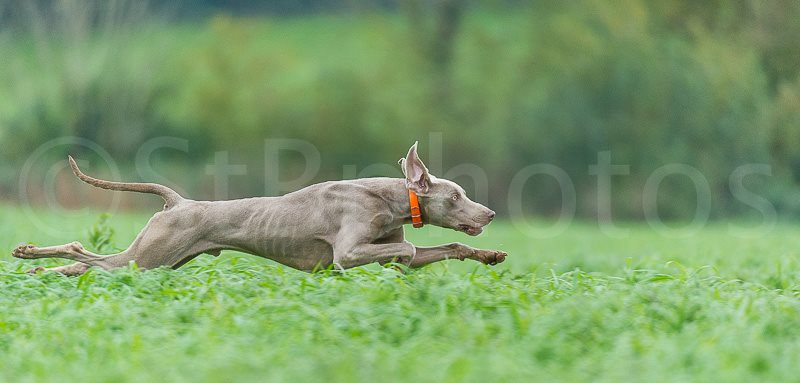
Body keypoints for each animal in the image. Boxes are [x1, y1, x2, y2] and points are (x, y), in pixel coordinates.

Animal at [12, 142, 506, 276]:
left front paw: (491, 255)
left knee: (89, 264)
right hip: (149, 257)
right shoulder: (348, 250)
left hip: (158, 260)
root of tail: (178, 201)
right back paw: (31, 256)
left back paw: (42, 268)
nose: (489, 215)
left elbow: (445, 248)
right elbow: (404, 252)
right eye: (456, 196)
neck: (387, 198)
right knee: (83, 252)